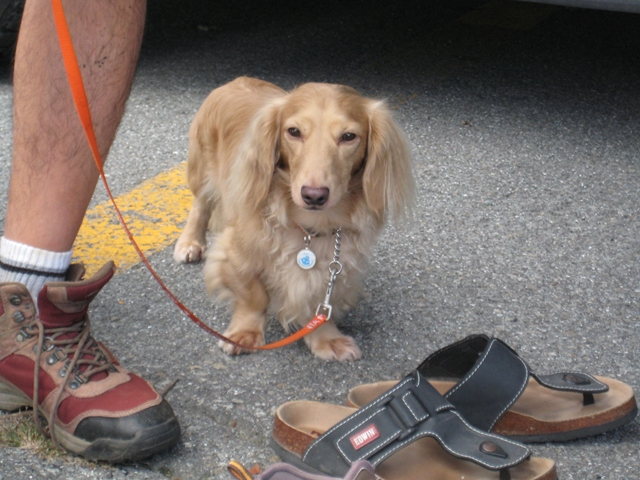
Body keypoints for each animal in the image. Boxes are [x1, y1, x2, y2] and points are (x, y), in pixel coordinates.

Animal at [174, 77, 413, 361]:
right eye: (294, 131)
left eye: (348, 136)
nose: (314, 196)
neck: (310, 228)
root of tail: (239, 80)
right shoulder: (236, 252)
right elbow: (253, 297)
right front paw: (245, 333)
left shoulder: (337, 265)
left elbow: (320, 304)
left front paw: (326, 338)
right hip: (202, 171)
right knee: (200, 204)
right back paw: (190, 242)